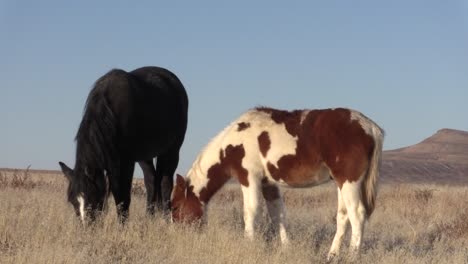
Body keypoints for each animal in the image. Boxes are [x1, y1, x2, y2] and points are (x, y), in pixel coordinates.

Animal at [59, 66, 187, 223]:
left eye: (92, 198)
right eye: (73, 201)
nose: (85, 226)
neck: (111, 112)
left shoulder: (126, 162)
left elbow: (124, 197)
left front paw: (122, 224)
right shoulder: (113, 162)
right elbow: (117, 193)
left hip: (171, 151)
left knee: (165, 183)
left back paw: (167, 219)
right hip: (144, 156)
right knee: (151, 180)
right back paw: (149, 217)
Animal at [172, 107, 384, 260]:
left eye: (174, 207)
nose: (177, 234)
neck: (234, 142)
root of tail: (371, 128)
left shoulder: (249, 177)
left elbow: (251, 212)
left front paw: (248, 245)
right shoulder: (269, 184)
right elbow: (278, 215)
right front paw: (286, 248)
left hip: (350, 181)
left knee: (357, 214)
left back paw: (352, 256)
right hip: (341, 182)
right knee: (343, 216)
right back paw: (331, 255)